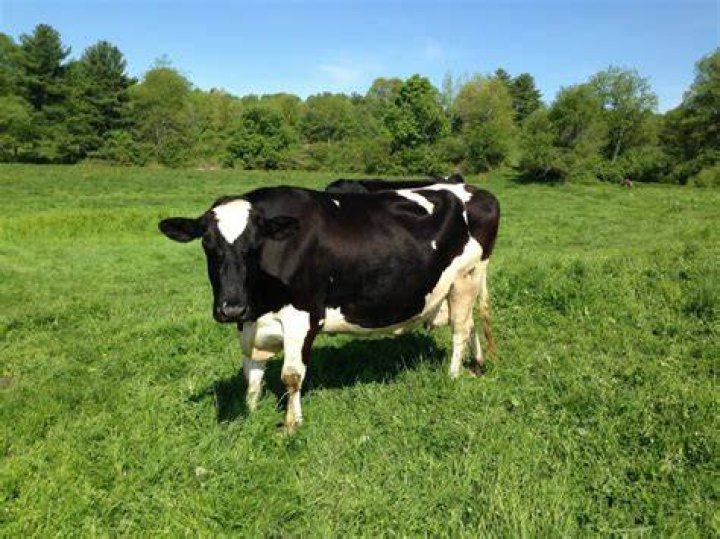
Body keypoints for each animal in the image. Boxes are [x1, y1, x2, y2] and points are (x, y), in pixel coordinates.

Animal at [159, 184, 496, 431]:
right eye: (208, 245)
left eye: (254, 246)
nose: (231, 308)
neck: (259, 305)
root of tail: (473, 188)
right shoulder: (250, 327)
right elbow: (252, 375)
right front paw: (251, 414)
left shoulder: (302, 319)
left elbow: (291, 376)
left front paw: (292, 424)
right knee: (471, 325)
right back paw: (477, 363)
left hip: (465, 278)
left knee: (460, 330)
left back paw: (453, 375)